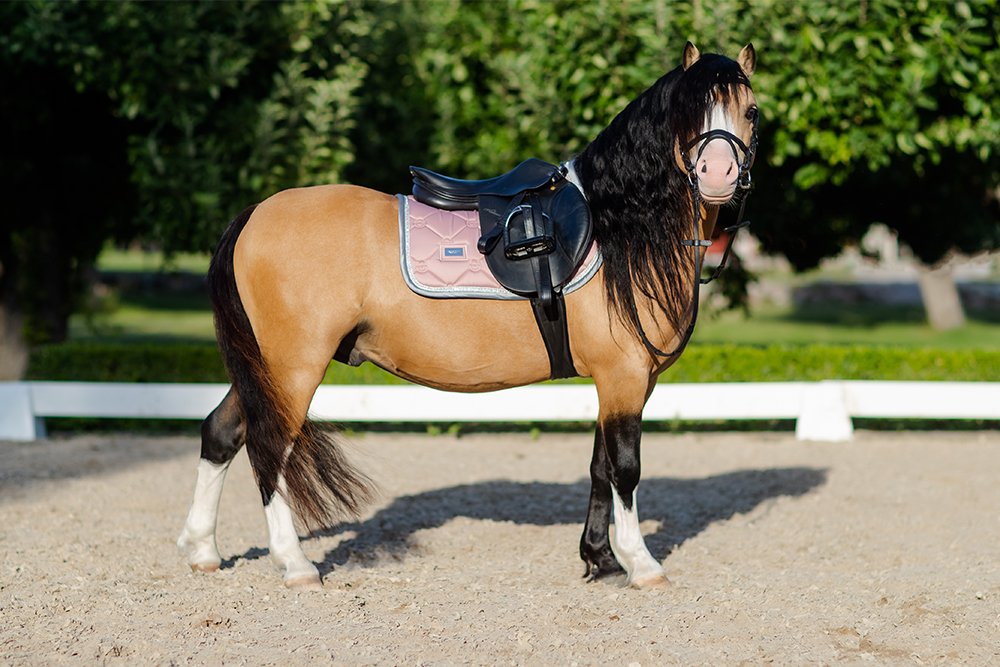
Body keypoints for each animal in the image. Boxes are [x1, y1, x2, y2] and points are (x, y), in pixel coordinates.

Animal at [177, 42, 759, 590]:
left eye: (751, 111)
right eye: (689, 110)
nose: (717, 174)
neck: (619, 226)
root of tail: (254, 214)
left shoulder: (620, 381)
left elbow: (599, 467)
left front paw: (600, 560)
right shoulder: (624, 376)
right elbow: (624, 469)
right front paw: (640, 564)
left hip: (264, 367)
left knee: (222, 431)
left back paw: (203, 550)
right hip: (294, 367)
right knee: (270, 446)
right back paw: (295, 564)